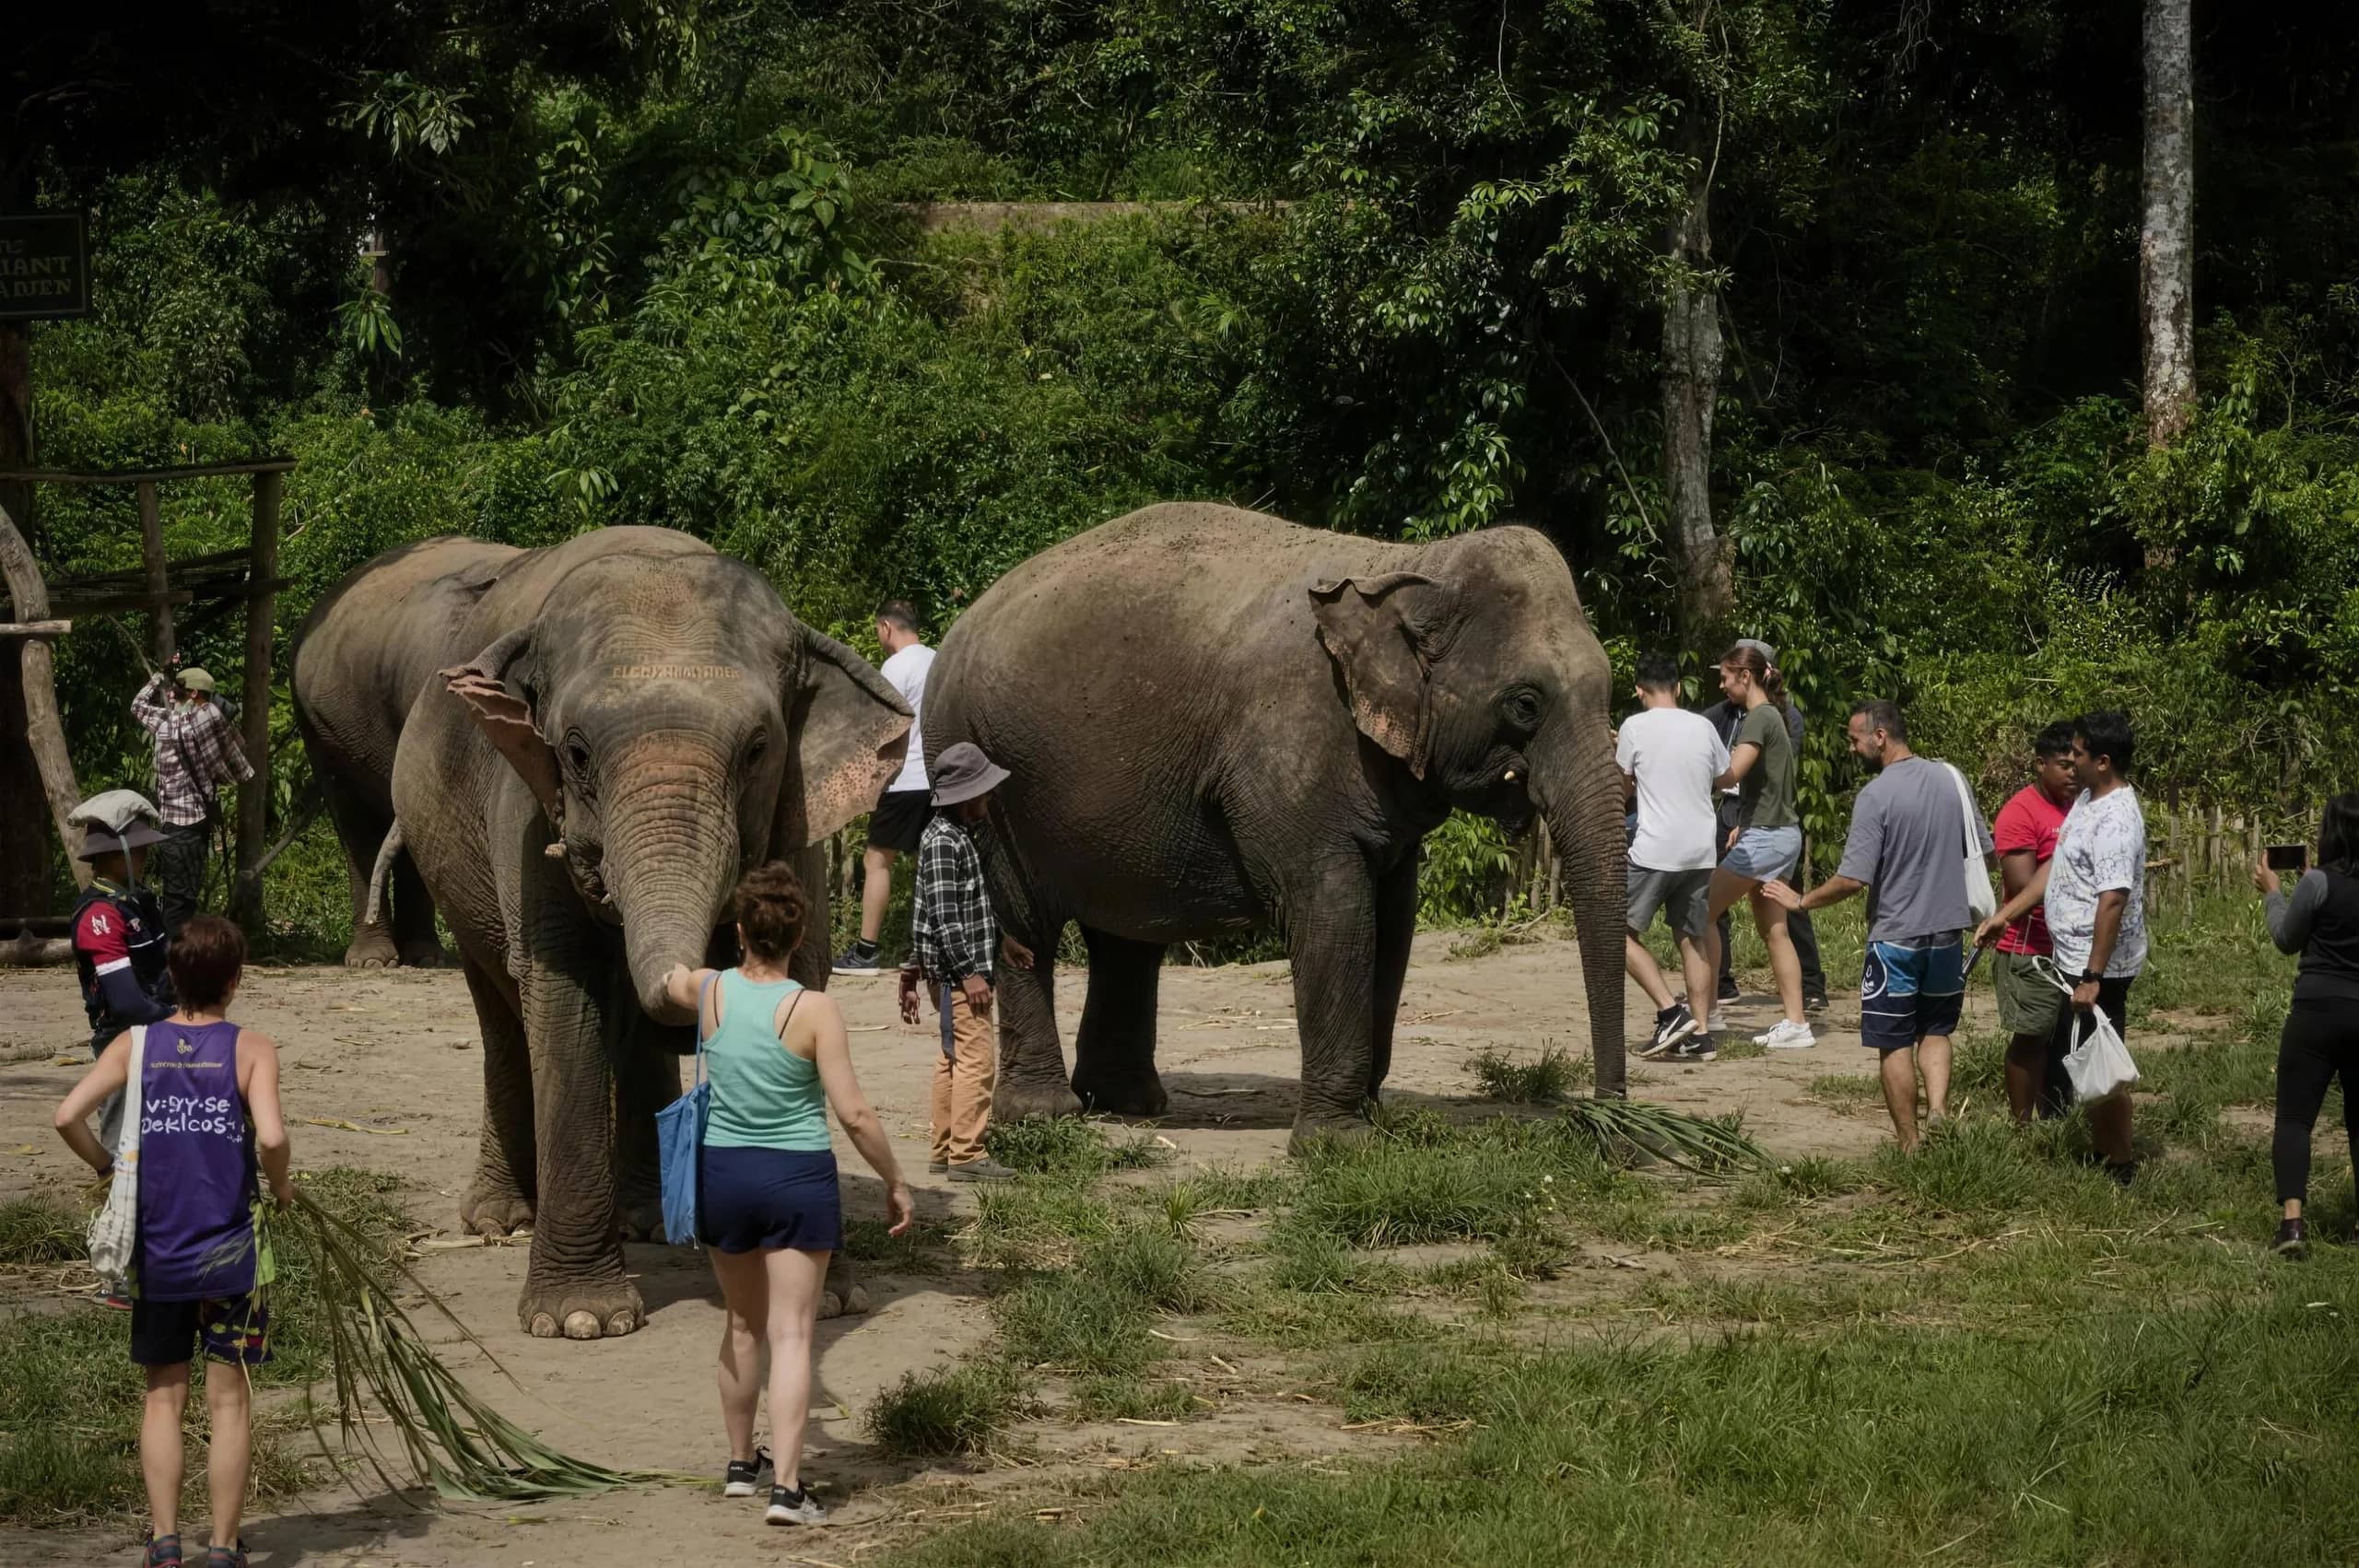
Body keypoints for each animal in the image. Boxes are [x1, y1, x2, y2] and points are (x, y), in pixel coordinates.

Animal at [292, 526, 912, 1339]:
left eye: (756, 751)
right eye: (577, 752)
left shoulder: (799, 814)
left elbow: (803, 978)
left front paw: (827, 1299)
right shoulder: (526, 814)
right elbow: (563, 991)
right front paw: (579, 1321)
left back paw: (645, 1219)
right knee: (501, 1015)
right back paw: (501, 1218)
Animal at [923, 502, 1627, 1145]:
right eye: (1525, 703)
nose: (1609, 1131)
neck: (1409, 565)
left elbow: (1393, 922)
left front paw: (1368, 1123)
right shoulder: (1290, 753)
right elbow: (1334, 912)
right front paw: (1339, 1146)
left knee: (1125, 937)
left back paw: (1127, 1105)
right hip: (980, 768)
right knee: (1023, 923)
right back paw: (1045, 1115)